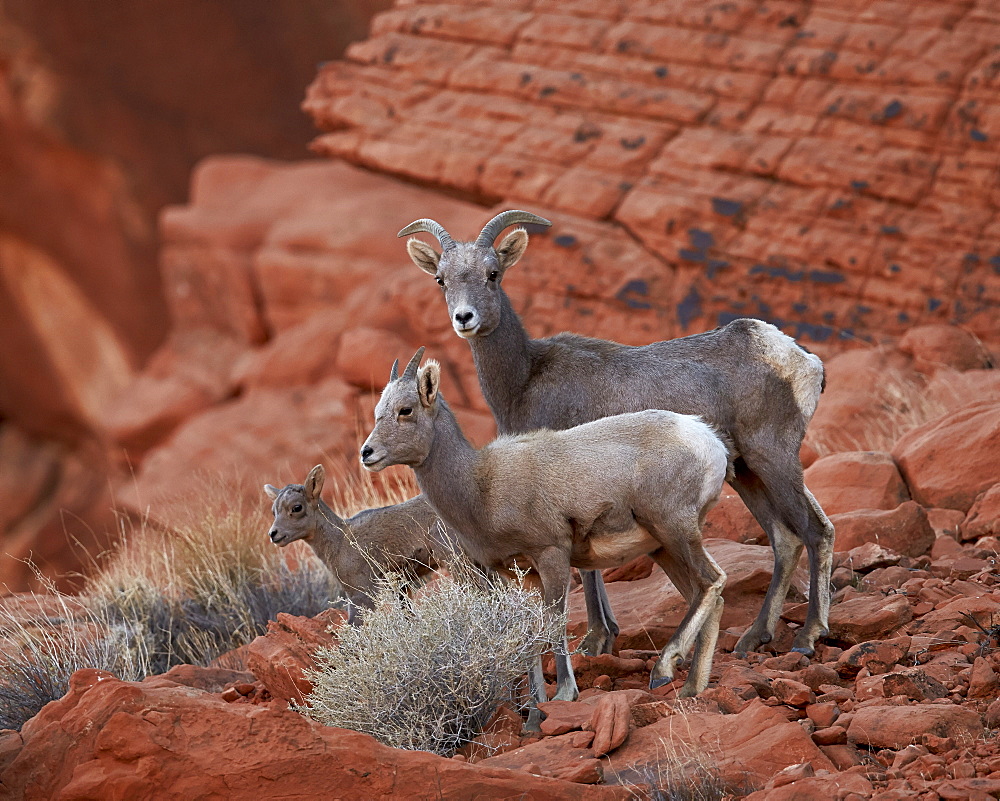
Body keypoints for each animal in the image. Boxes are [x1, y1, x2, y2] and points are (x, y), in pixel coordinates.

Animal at [266, 462, 442, 624]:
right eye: (274, 512)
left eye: (297, 507)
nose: (274, 534)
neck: (339, 542)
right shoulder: (398, 586)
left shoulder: (361, 593)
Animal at [364, 346, 732, 704]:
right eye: (378, 412)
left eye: (406, 410)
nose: (367, 453)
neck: (482, 486)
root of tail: (706, 439)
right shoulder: (522, 576)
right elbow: (528, 635)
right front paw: (534, 707)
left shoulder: (552, 556)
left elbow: (554, 625)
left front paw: (565, 694)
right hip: (662, 547)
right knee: (704, 595)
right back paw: (690, 687)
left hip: (674, 530)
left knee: (712, 582)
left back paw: (664, 668)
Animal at [398, 211, 836, 656]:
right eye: (441, 279)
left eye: (493, 273)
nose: (464, 318)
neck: (525, 378)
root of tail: (799, 357)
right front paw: (606, 634)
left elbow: (588, 572)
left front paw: (595, 640)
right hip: (746, 472)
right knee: (785, 538)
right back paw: (754, 637)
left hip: (771, 457)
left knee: (815, 531)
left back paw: (807, 636)